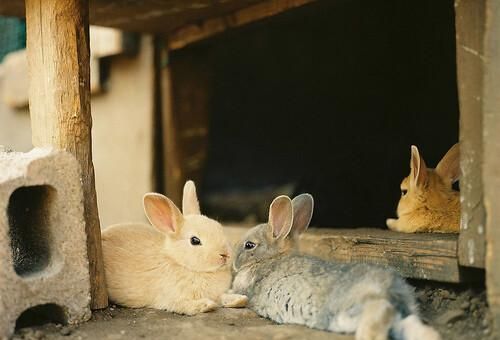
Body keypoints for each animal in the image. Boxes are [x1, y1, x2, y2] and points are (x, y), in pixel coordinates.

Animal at [101, 182, 246, 314]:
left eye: (219, 227)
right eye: (195, 240)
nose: (225, 254)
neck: (180, 262)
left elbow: (224, 297)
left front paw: (240, 300)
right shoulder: (173, 299)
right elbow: (186, 305)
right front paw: (207, 305)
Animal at [230, 194, 438, 340]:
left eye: (249, 245)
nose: (233, 262)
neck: (270, 258)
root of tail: (393, 289)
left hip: (349, 308)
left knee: (381, 310)